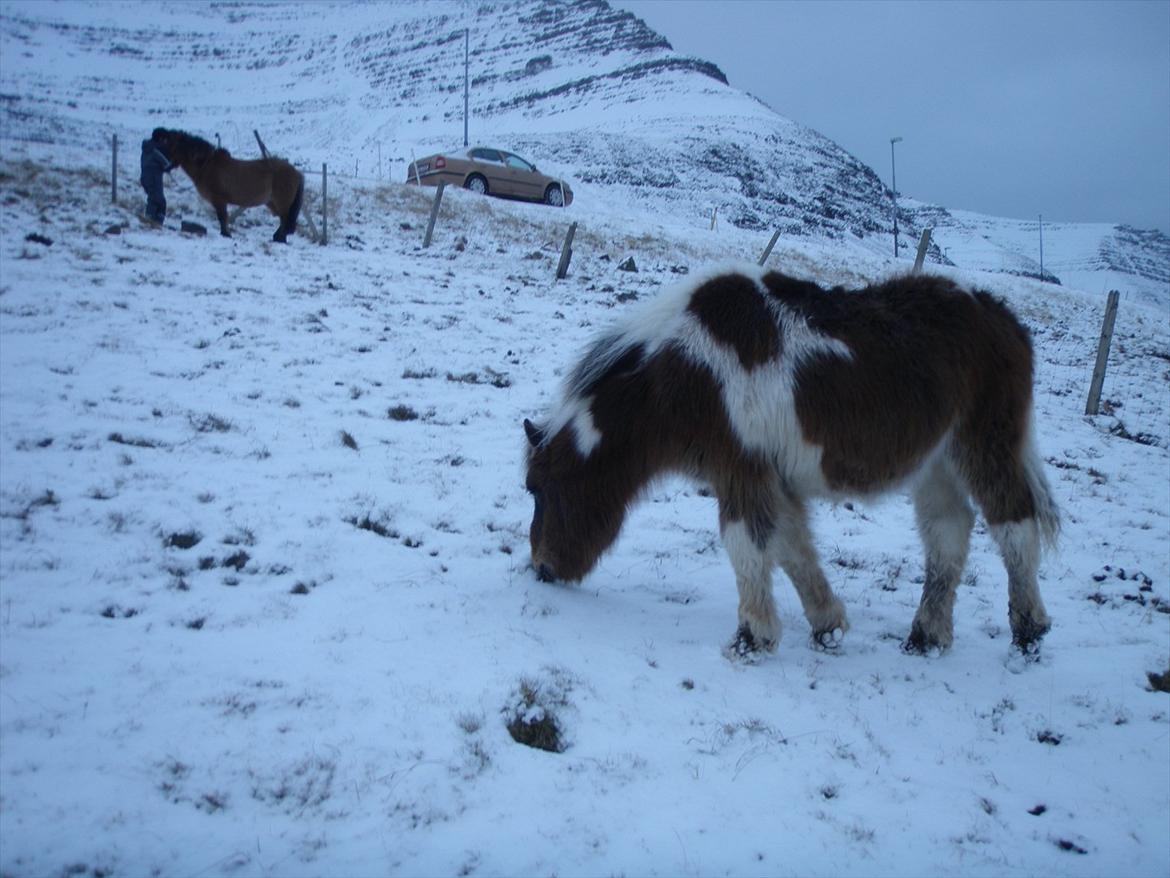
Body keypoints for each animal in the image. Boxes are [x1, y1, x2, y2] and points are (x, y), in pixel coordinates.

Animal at [526, 268, 1067, 660]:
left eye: (537, 488)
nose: (542, 569)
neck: (685, 375)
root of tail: (1005, 320)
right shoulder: (770, 477)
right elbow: (792, 548)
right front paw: (827, 625)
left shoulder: (742, 472)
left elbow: (746, 546)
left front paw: (751, 638)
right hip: (937, 466)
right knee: (947, 534)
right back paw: (927, 638)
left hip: (984, 446)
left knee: (1013, 525)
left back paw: (1029, 632)